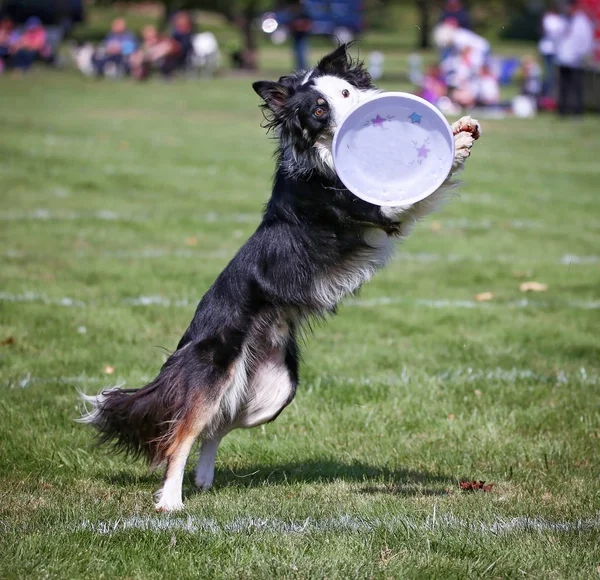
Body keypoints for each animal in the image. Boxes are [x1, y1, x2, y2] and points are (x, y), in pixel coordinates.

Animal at [81, 44, 482, 512]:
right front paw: (455, 145)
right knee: (181, 434)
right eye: (320, 110)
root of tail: (185, 345)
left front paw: (462, 130)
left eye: (347, 93)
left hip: (272, 393)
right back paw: (172, 500)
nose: (360, 117)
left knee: (215, 427)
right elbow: (413, 195)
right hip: (215, 373)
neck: (322, 157)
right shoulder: (370, 207)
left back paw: (204, 480)